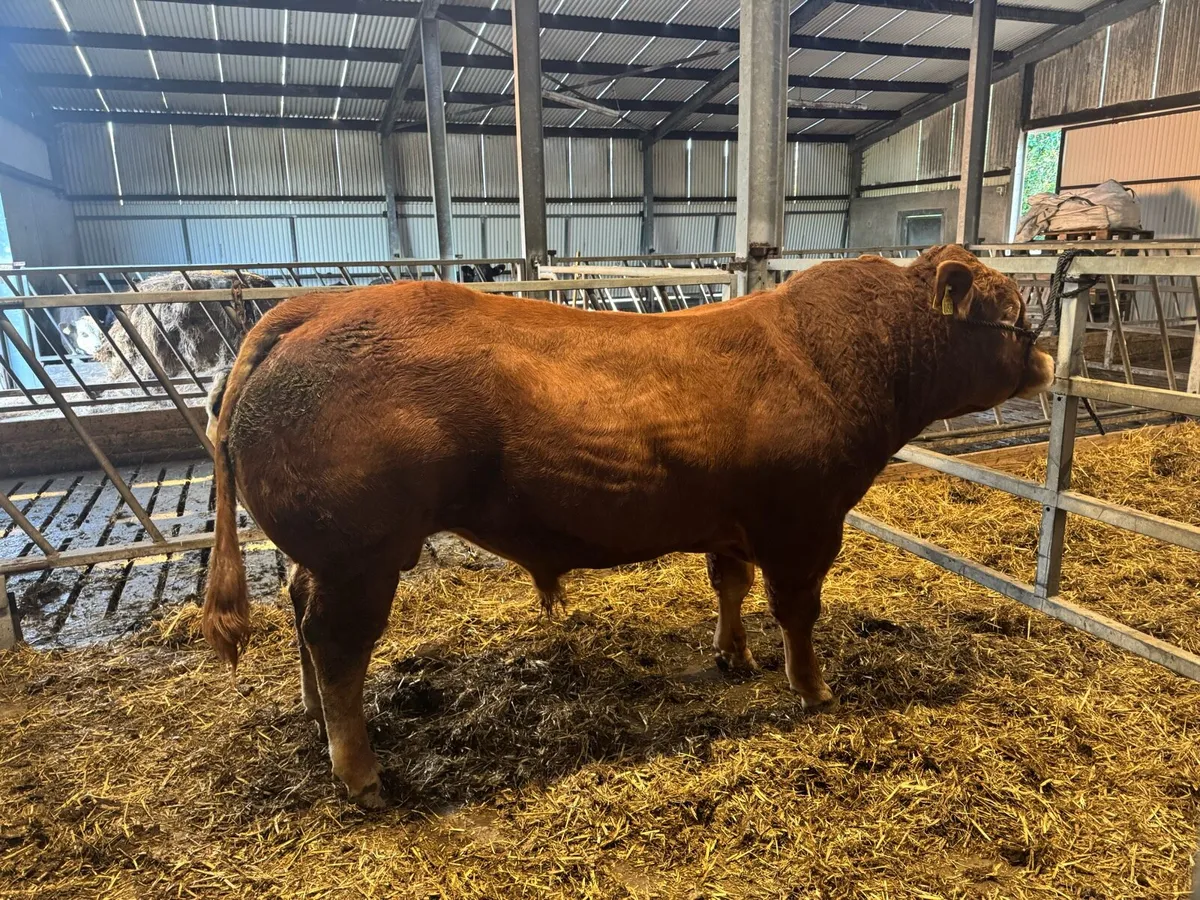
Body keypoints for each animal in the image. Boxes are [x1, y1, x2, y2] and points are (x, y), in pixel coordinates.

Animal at [201, 245, 1054, 806]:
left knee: (301, 616)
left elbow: (730, 584)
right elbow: (797, 610)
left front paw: (734, 656)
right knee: (337, 645)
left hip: (326, 554)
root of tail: (309, 309)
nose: (1045, 354)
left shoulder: (732, 520)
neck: (849, 357)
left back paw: (314, 720)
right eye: (1010, 312)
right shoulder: (805, 519)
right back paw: (361, 774)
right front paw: (814, 690)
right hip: (361, 555)